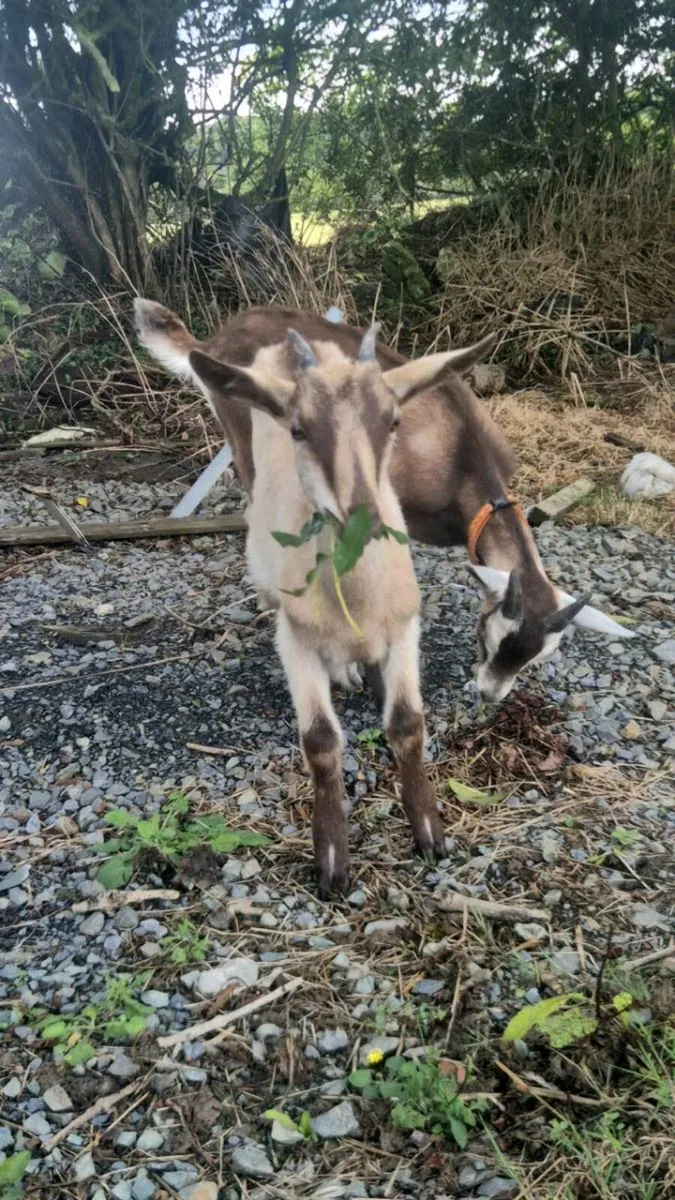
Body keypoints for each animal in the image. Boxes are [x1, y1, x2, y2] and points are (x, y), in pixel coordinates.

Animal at [135, 302, 634, 705]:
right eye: (484, 637)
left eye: (536, 658)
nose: (489, 696)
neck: (459, 452)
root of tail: (212, 340)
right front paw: (363, 668)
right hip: (246, 441)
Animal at [136, 299, 496, 895]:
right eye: (299, 430)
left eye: (393, 422)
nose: (364, 518)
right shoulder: (295, 640)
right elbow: (322, 744)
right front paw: (331, 858)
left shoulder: (405, 625)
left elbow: (408, 725)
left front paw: (428, 830)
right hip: (242, 457)